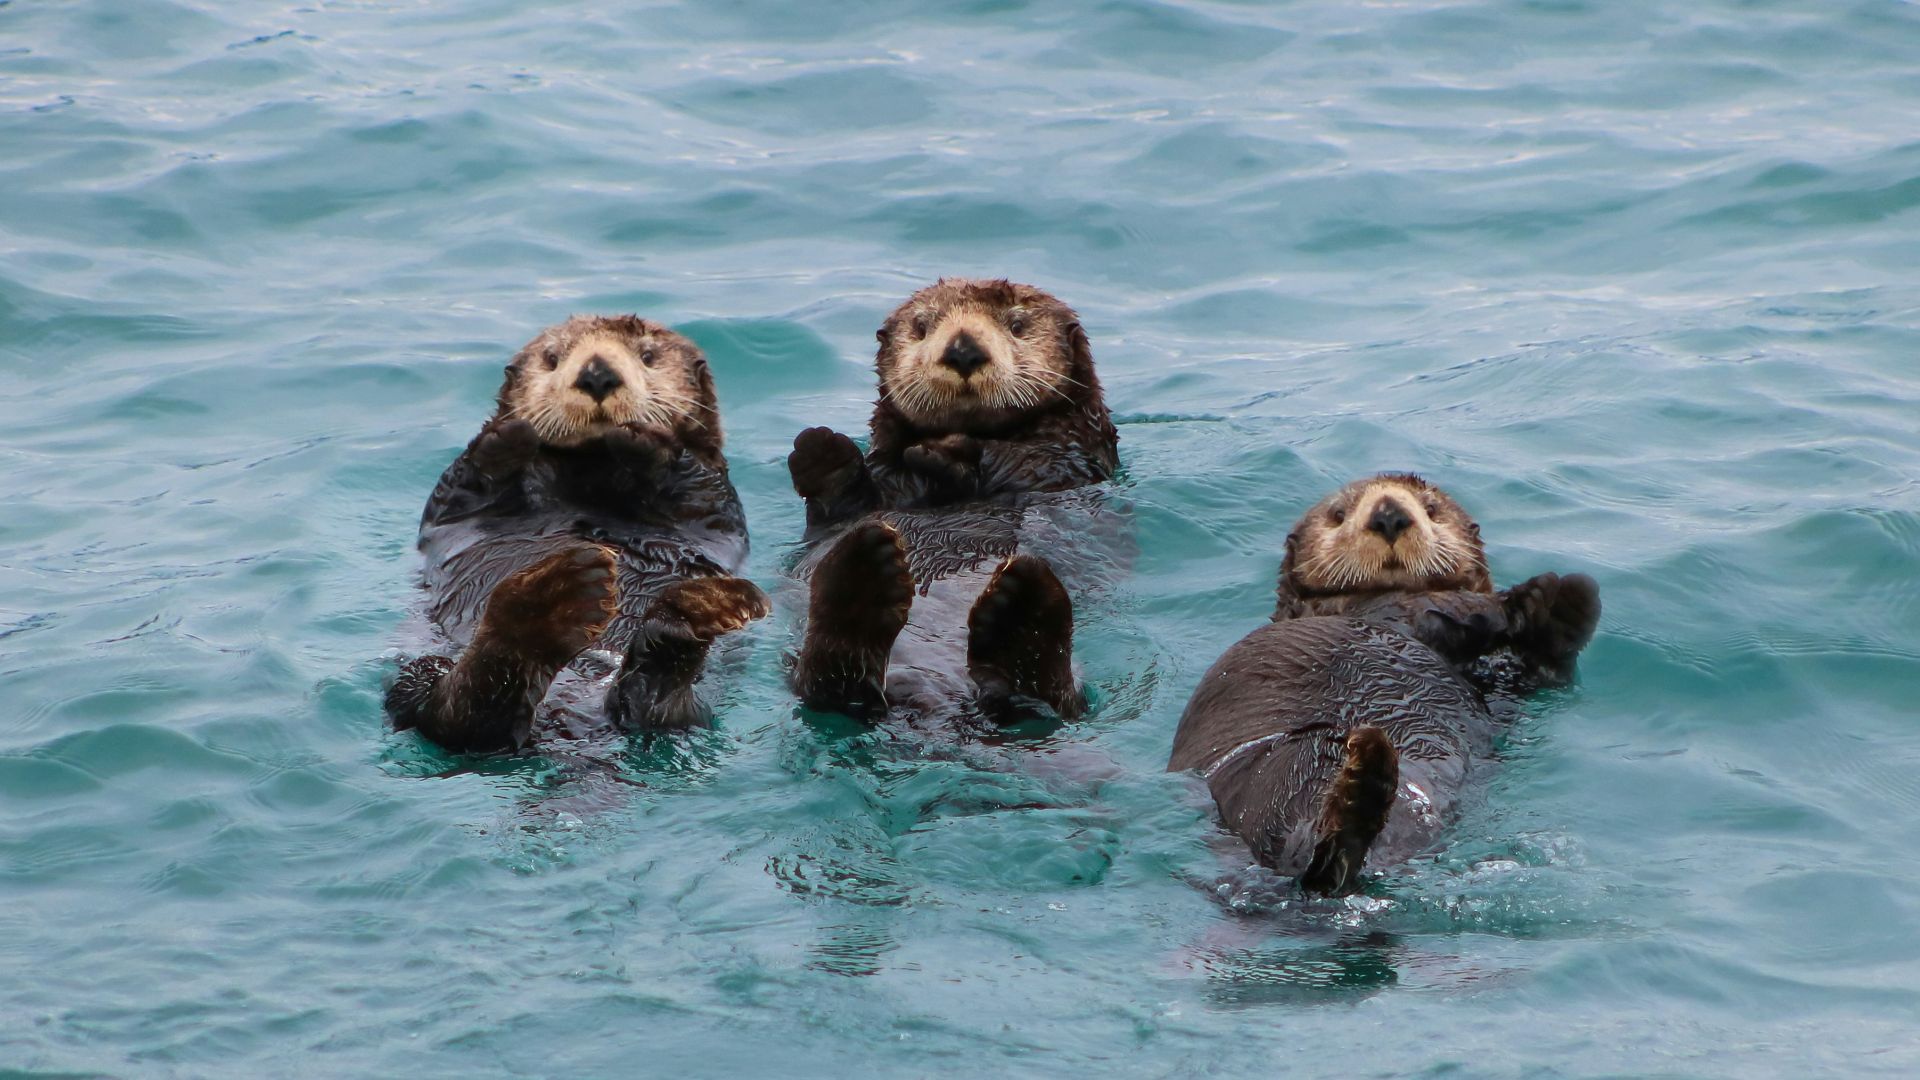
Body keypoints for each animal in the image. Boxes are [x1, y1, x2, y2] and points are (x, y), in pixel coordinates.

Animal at [386, 315, 768, 753]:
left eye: (648, 355)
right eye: (552, 358)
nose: (597, 374)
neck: (591, 475)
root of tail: (573, 715)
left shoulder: (715, 501)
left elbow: (697, 486)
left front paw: (643, 440)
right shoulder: (453, 504)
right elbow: (462, 488)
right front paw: (509, 435)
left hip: (694, 710)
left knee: (654, 710)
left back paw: (688, 615)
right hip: (419, 670)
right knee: (454, 716)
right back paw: (553, 600)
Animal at [783, 278, 1120, 722]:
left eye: (1017, 325)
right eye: (922, 327)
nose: (963, 350)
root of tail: (932, 697)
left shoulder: (1065, 461)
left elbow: (1020, 461)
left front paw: (945, 453)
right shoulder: (877, 491)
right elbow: (844, 504)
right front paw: (822, 451)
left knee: (1052, 701)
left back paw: (1021, 606)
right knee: (828, 684)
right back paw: (864, 572)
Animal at [1168, 474, 1600, 895]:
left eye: (1431, 508)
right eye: (1338, 514)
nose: (1389, 515)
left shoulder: (1501, 687)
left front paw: (1563, 603)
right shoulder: (1389, 609)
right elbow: (1446, 610)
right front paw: (1528, 599)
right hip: (1278, 775)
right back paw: (1361, 783)